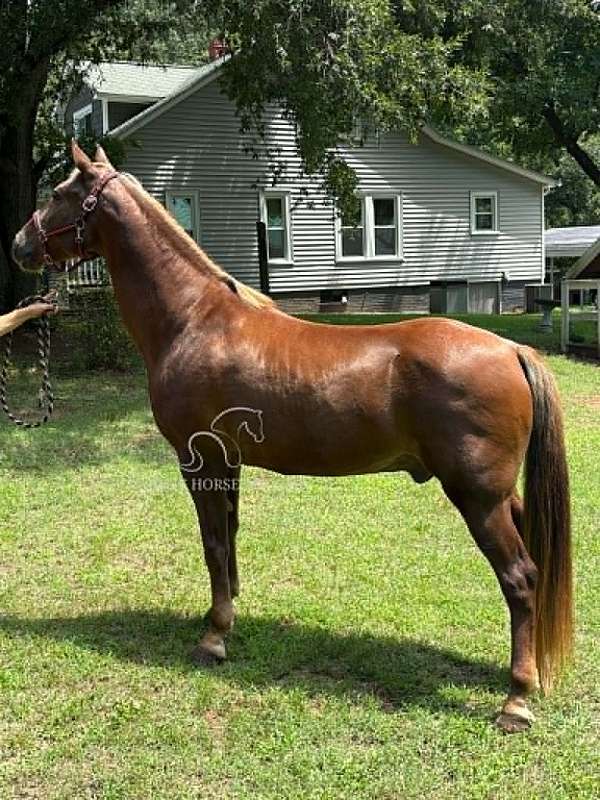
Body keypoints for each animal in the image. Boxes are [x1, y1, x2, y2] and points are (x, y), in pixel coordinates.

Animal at [12, 141, 572, 733]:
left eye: (59, 192)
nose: (20, 244)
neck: (194, 321)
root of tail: (511, 349)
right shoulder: (228, 462)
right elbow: (230, 537)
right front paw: (225, 614)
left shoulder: (200, 459)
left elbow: (213, 543)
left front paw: (213, 637)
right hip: (500, 496)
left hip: (477, 497)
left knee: (520, 578)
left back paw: (516, 699)